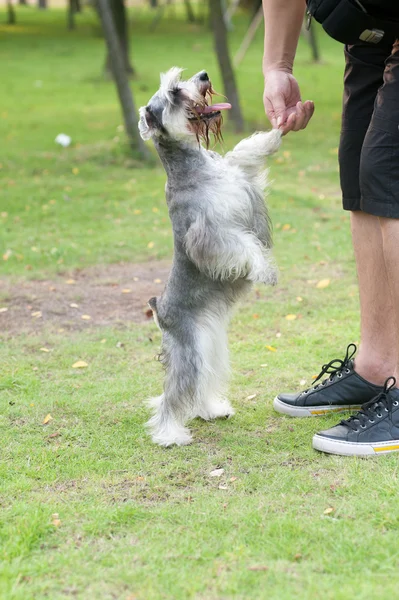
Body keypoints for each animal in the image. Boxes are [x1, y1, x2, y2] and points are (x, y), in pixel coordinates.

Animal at [139, 69, 282, 446]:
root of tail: (160, 310)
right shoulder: (208, 235)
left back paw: (211, 410)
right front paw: (265, 270)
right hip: (190, 352)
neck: (197, 166)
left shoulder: (238, 171)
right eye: (174, 92)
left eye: (183, 76)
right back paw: (170, 434)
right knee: (173, 394)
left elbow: (247, 150)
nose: (204, 76)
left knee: (201, 383)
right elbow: (244, 245)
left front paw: (277, 131)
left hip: (209, 346)